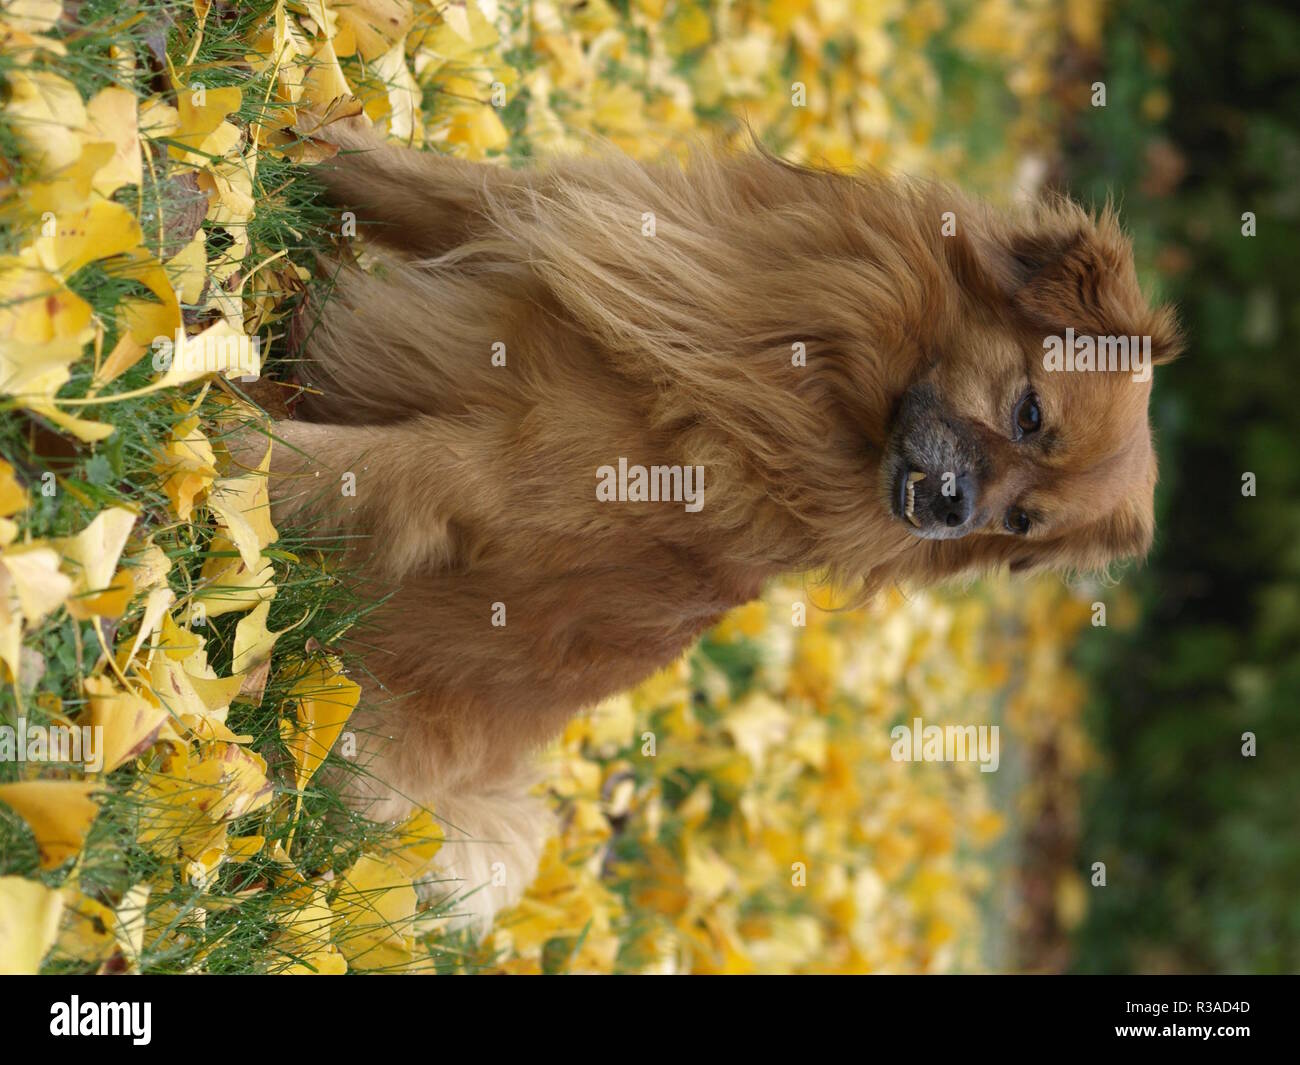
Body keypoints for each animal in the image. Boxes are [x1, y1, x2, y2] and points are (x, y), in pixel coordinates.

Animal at [258, 120, 1185, 931]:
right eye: (1030, 415)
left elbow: (310, 466)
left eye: (1022, 521)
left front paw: (223, 449)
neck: (805, 385)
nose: (962, 515)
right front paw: (289, 121)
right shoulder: (531, 216)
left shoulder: (474, 475)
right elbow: (381, 171)